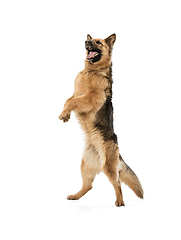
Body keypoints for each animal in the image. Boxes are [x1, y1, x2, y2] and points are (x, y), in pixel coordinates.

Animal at [58, 33, 144, 206]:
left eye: (98, 42)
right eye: (90, 40)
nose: (86, 42)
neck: (92, 70)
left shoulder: (91, 98)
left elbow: (72, 102)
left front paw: (64, 114)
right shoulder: (76, 93)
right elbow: (68, 100)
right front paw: (65, 114)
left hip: (109, 168)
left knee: (117, 183)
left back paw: (119, 201)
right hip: (85, 165)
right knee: (88, 186)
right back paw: (76, 196)